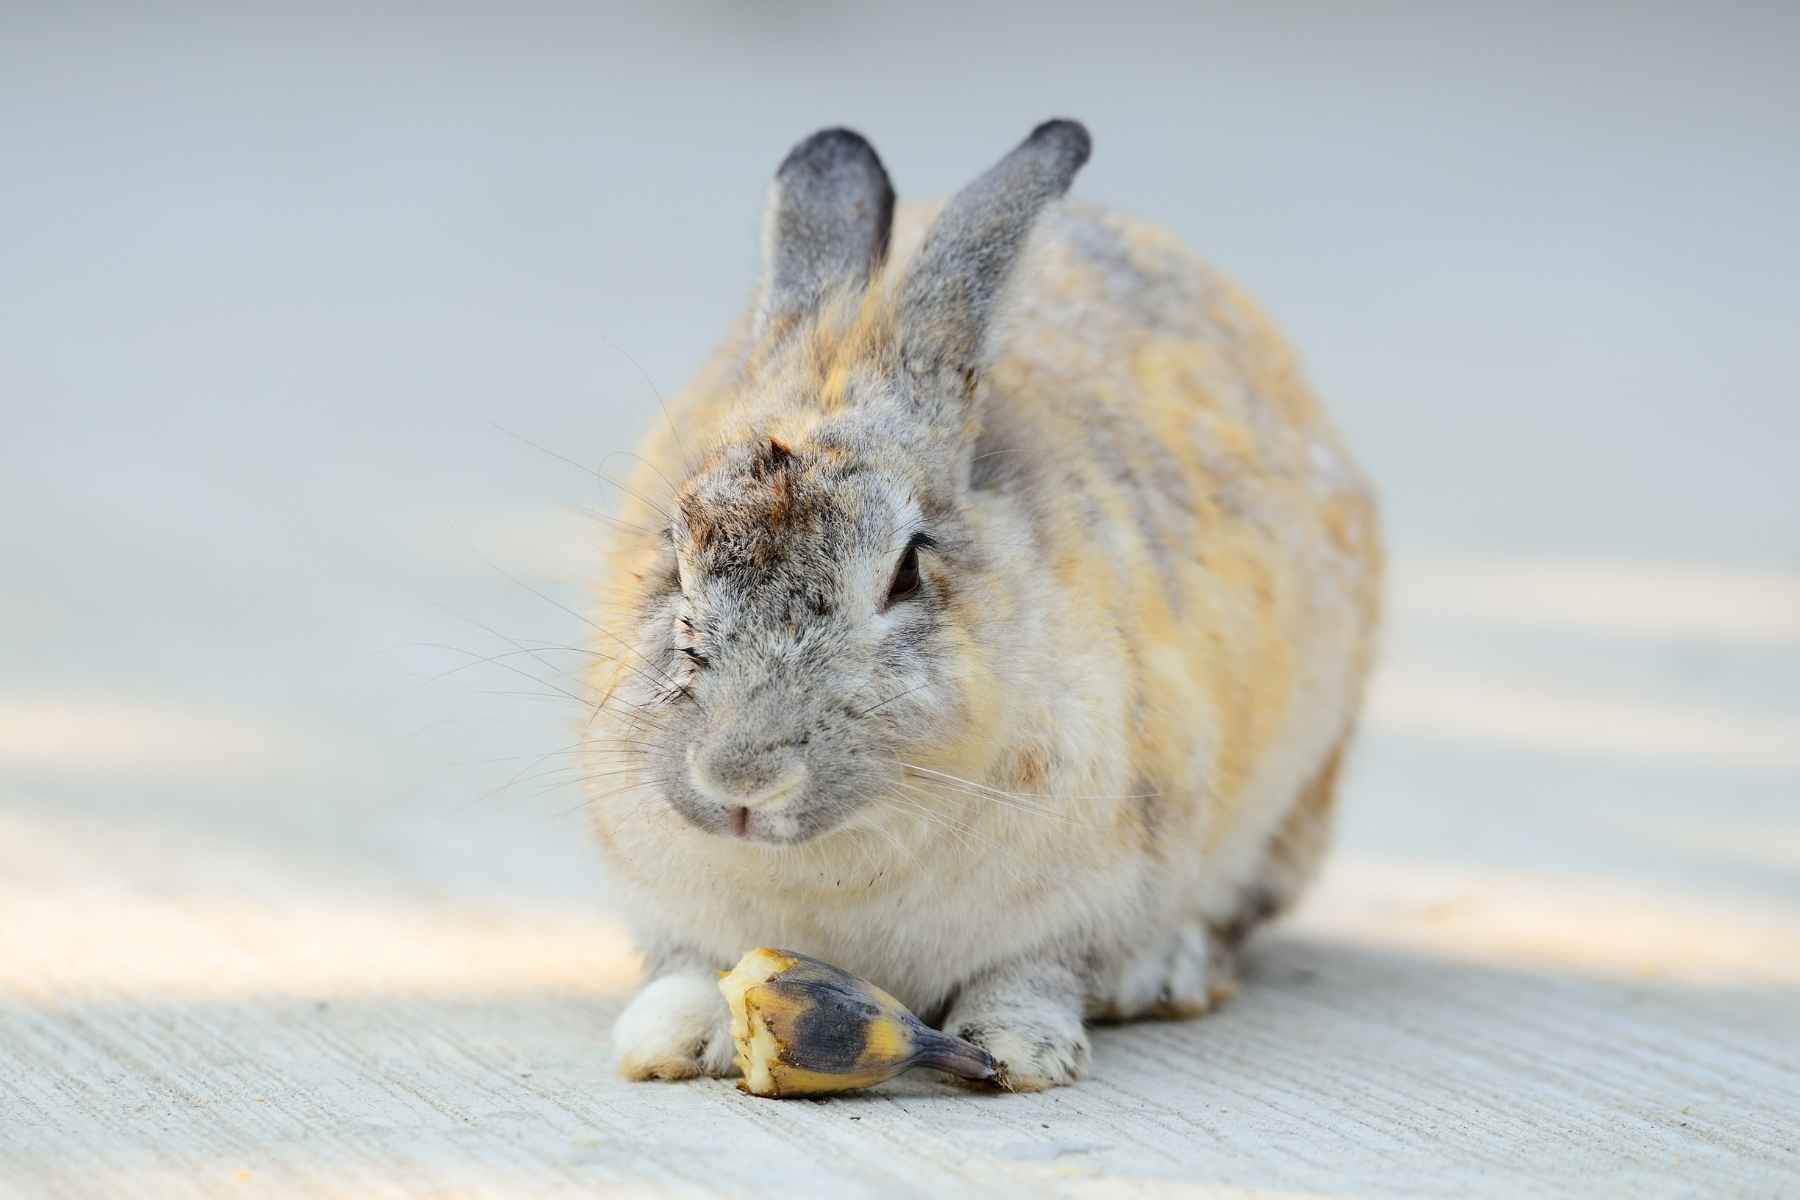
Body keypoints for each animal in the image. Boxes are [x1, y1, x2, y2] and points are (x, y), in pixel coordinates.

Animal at [586, 119, 1375, 1086]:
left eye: (905, 572)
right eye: (674, 545)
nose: (739, 781)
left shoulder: (1084, 899)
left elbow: (1033, 972)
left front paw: (1020, 1050)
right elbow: (688, 963)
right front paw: (664, 1038)